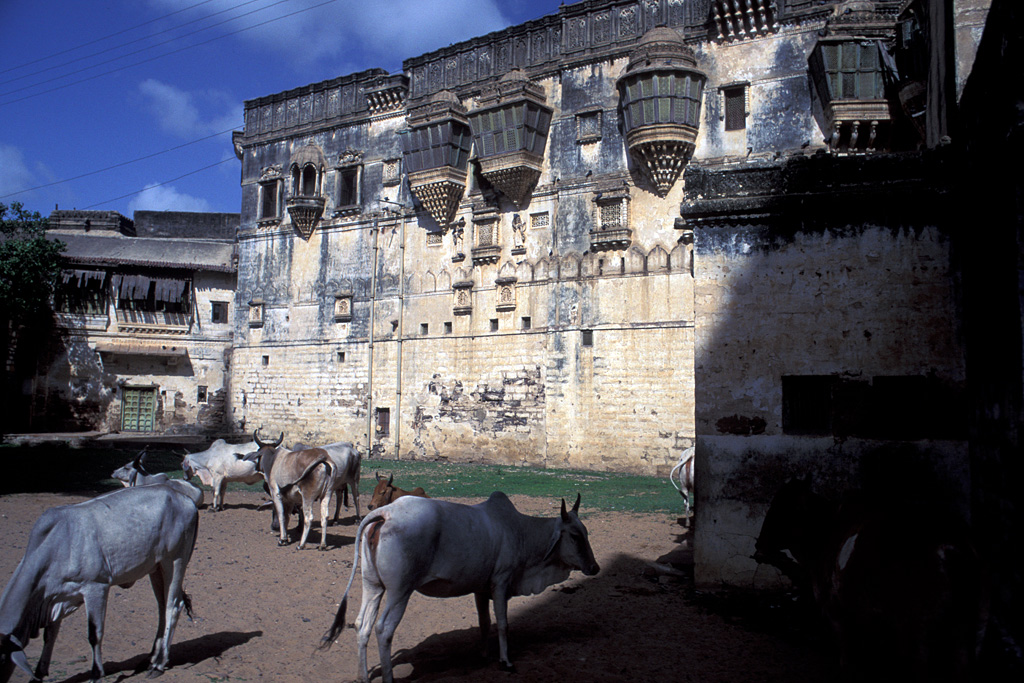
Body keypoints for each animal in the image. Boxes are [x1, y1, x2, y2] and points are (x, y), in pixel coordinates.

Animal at [0, 485, 198, 683]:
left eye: (0, 657)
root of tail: (185, 500)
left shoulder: (96, 587)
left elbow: (95, 635)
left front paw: (96, 674)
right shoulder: (57, 597)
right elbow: (50, 634)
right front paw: (39, 674)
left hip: (174, 561)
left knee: (173, 606)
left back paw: (158, 664)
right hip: (156, 568)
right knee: (162, 607)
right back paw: (151, 658)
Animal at [319, 492, 600, 683]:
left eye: (586, 533)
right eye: (575, 536)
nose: (595, 567)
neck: (519, 531)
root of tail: (386, 512)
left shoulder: (481, 589)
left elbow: (485, 623)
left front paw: (484, 656)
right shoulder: (501, 582)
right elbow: (503, 624)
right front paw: (506, 661)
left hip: (373, 586)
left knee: (362, 624)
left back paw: (363, 675)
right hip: (400, 592)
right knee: (383, 629)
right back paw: (387, 678)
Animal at [753, 475, 988, 682]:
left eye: (780, 509)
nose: (759, 543)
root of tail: (951, 546)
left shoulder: (835, 611)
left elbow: (849, 661)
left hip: (917, 634)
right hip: (971, 629)